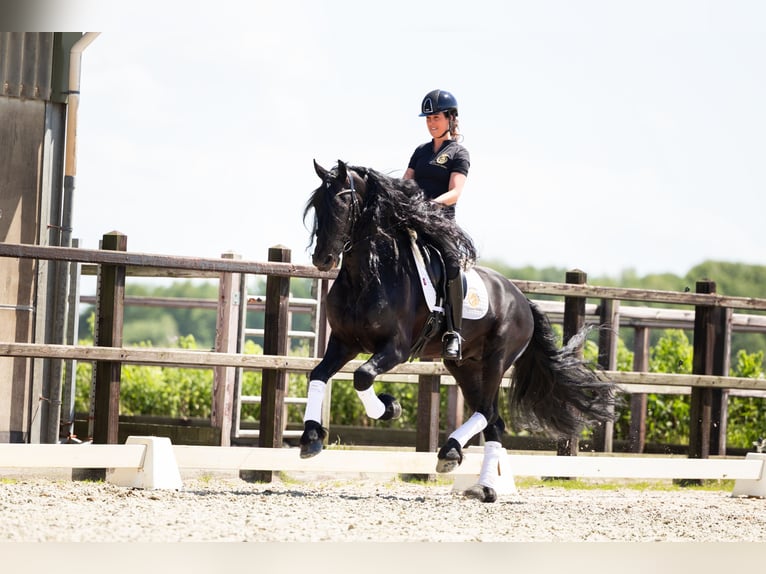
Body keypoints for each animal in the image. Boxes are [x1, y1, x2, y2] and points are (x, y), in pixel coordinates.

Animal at [300, 160, 616, 502]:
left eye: (343, 202)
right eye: (316, 205)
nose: (322, 259)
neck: (370, 273)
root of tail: (522, 299)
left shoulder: (395, 348)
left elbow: (362, 377)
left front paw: (389, 408)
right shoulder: (344, 342)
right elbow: (318, 374)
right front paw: (311, 438)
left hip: (496, 359)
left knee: (488, 412)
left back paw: (461, 462)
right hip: (464, 364)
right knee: (493, 420)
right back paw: (477, 480)